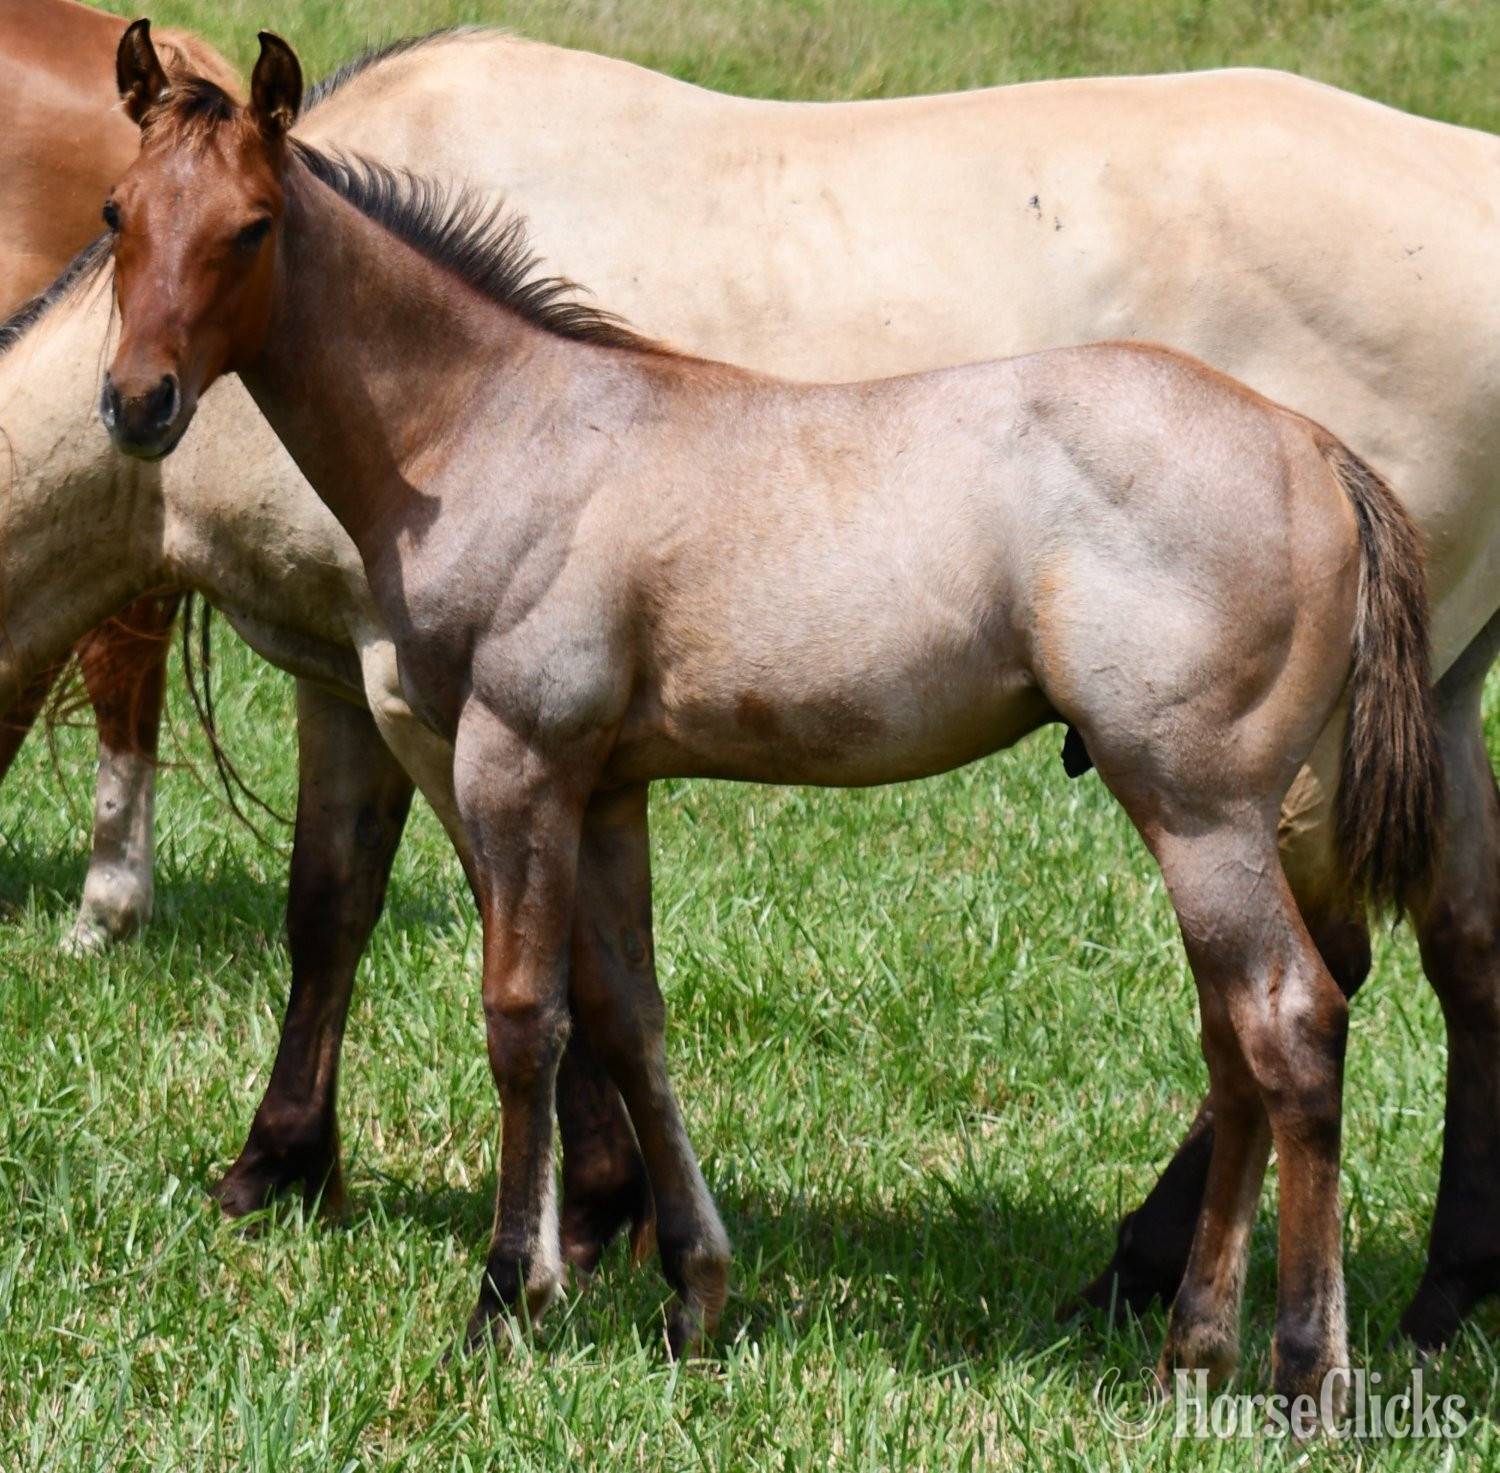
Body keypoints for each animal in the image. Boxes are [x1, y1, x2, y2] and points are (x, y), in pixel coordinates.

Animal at [13, 16, 1500, 1345]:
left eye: (252, 228)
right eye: (119, 211)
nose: (138, 404)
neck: (498, 420)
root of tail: (1316, 453)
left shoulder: (504, 753)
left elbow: (519, 1013)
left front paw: (509, 1292)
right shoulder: (606, 783)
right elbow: (628, 1014)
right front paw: (690, 1288)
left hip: (1203, 801)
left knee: (1292, 1021)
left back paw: (1296, 1364)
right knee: (1286, 1019)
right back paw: (1233, 1330)